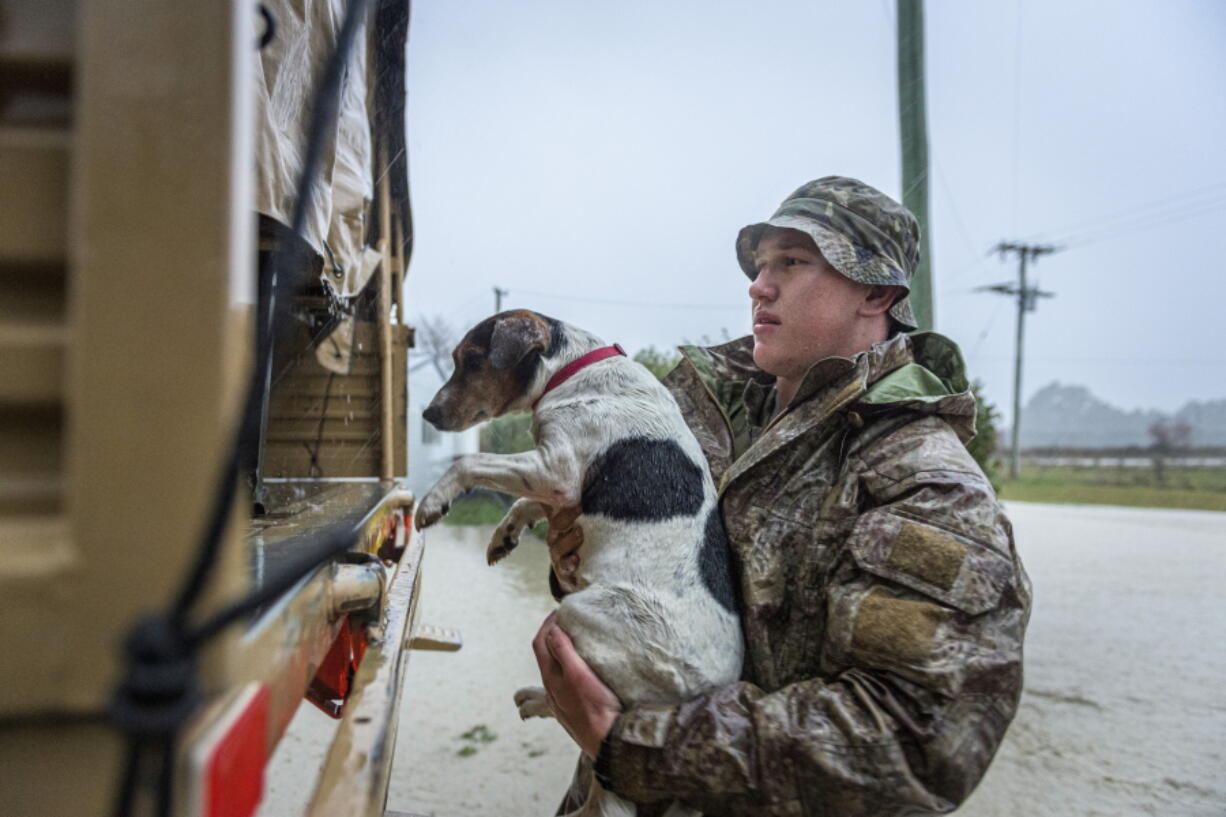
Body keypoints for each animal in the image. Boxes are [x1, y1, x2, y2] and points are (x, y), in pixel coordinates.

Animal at [416, 309, 740, 809]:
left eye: (470, 360)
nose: (428, 415)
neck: (574, 370)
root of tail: (703, 697)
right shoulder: (554, 486)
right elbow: (525, 504)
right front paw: (504, 536)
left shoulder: (557, 469)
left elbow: (469, 463)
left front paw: (433, 501)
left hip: (579, 616)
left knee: (579, 712)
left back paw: (538, 698)